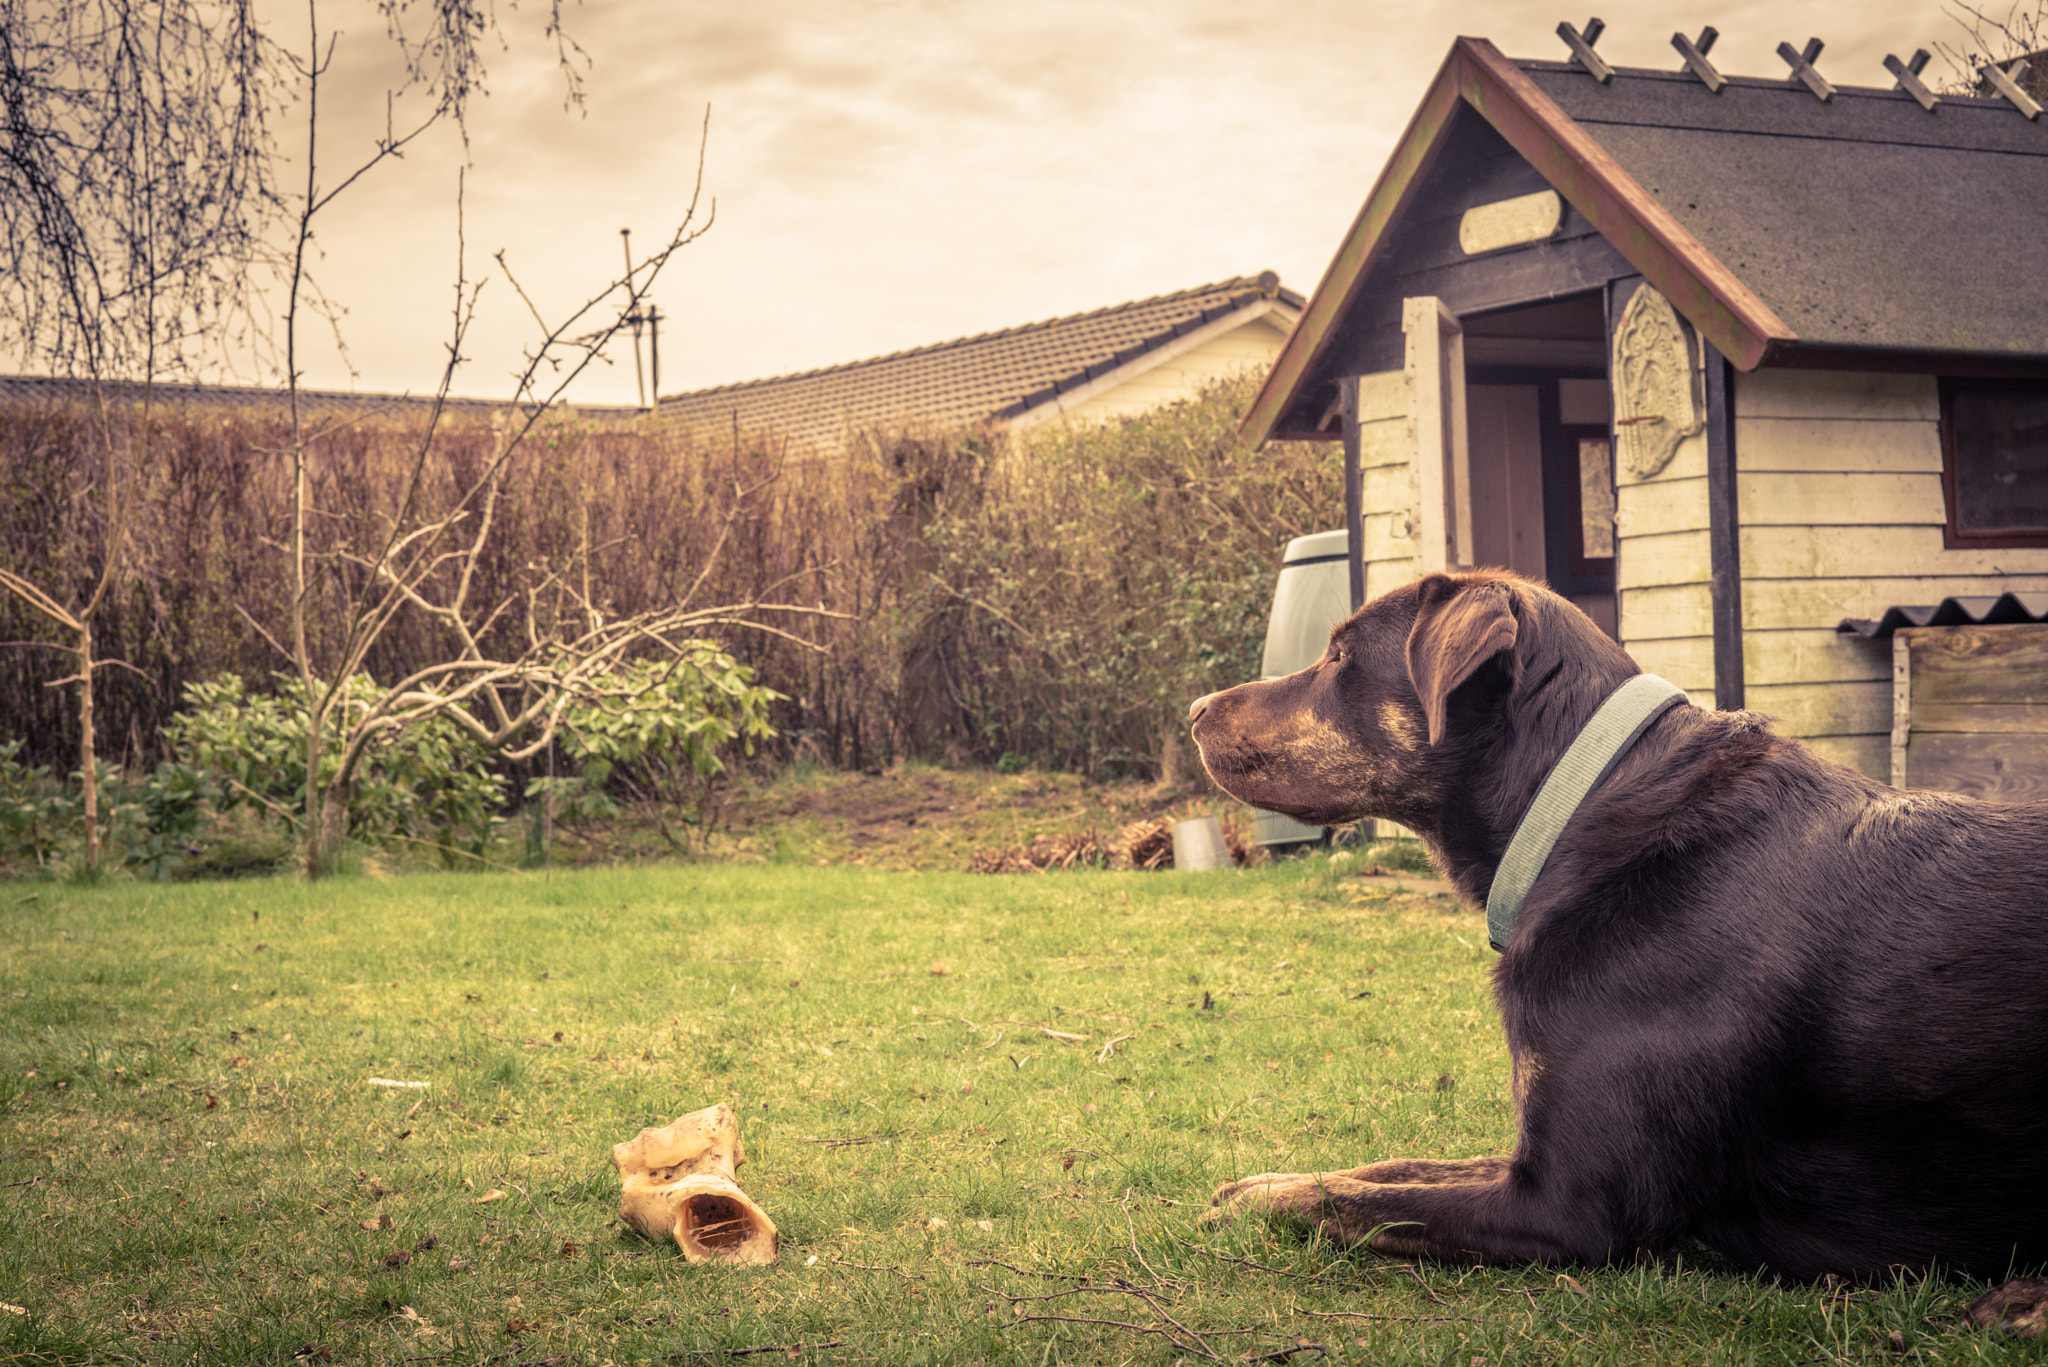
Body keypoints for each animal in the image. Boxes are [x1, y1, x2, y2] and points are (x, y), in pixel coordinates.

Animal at [1187, 573, 2048, 1311]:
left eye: (1340, 657)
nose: (1193, 709)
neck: (1582, 809)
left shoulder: (1565, 1203)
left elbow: (1362, 1201)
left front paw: (1264, 1200)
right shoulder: (1531, 1152)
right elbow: (1391, 1167)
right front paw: (1259, 1182)